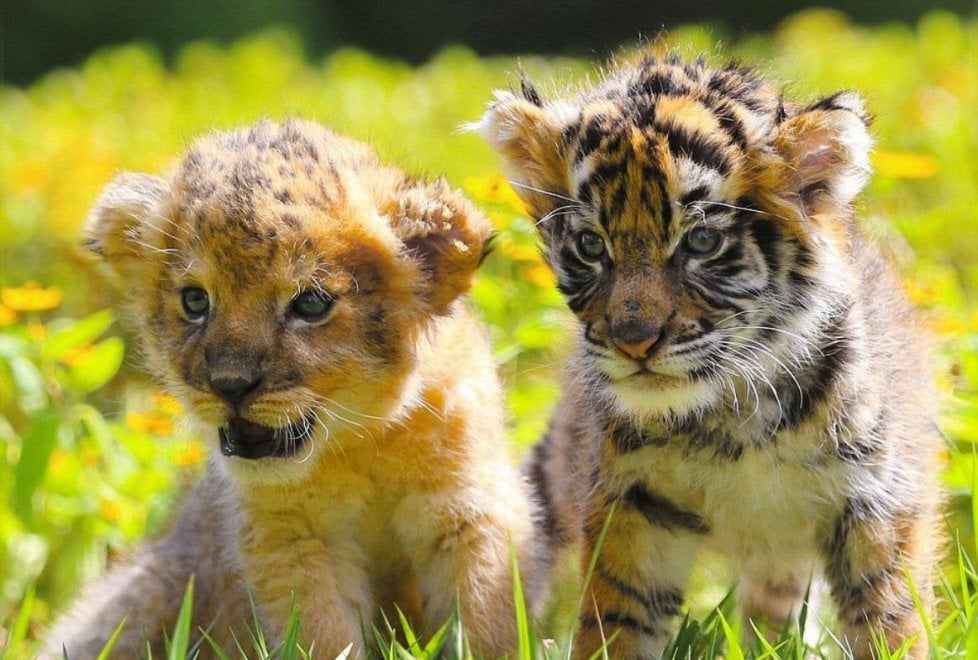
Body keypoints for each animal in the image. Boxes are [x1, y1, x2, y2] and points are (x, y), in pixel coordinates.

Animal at [477, 53, 943, 658]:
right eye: (590, 245)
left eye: (700, 243)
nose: (634, 339)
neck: (732, 416)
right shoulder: (633, 503)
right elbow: (618, 622)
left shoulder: (875, 499)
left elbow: (887, 616)